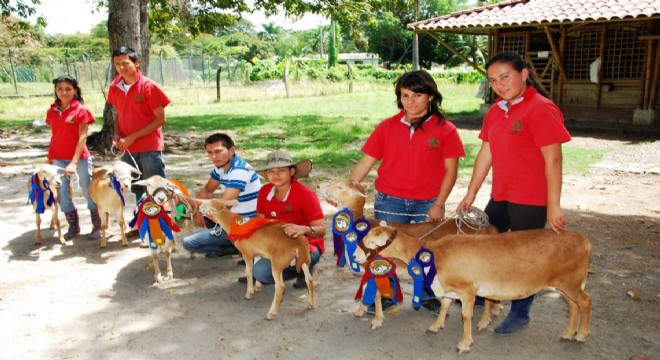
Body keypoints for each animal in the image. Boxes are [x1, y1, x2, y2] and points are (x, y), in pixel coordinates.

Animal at [356, 225, 592, 354]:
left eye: (371, 240)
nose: (357, 256)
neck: (435, 252)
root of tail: (585, 240)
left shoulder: (468, 289)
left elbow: (466, 315)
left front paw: (464, 344)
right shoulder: (449, 287)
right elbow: (445, 304)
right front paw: (436, 326)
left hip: (571, 281)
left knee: (585, 302)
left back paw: (581, 335)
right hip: (565, 283)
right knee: (573, 305)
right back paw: (568, 333)